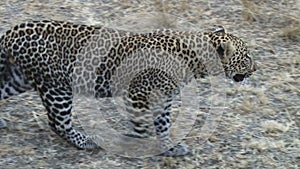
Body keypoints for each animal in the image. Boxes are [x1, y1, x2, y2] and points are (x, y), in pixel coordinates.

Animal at [0, 20, 258, 156]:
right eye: (246, 57)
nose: (257, 68)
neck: (194, 61)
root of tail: (12, 32)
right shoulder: (137, 93)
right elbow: (142, 126)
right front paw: (129, 139)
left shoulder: (164, 98)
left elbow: (163, 125)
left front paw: (169, 148)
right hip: (57, 88)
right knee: (58, 123)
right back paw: (87, 141)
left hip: (17, 78)